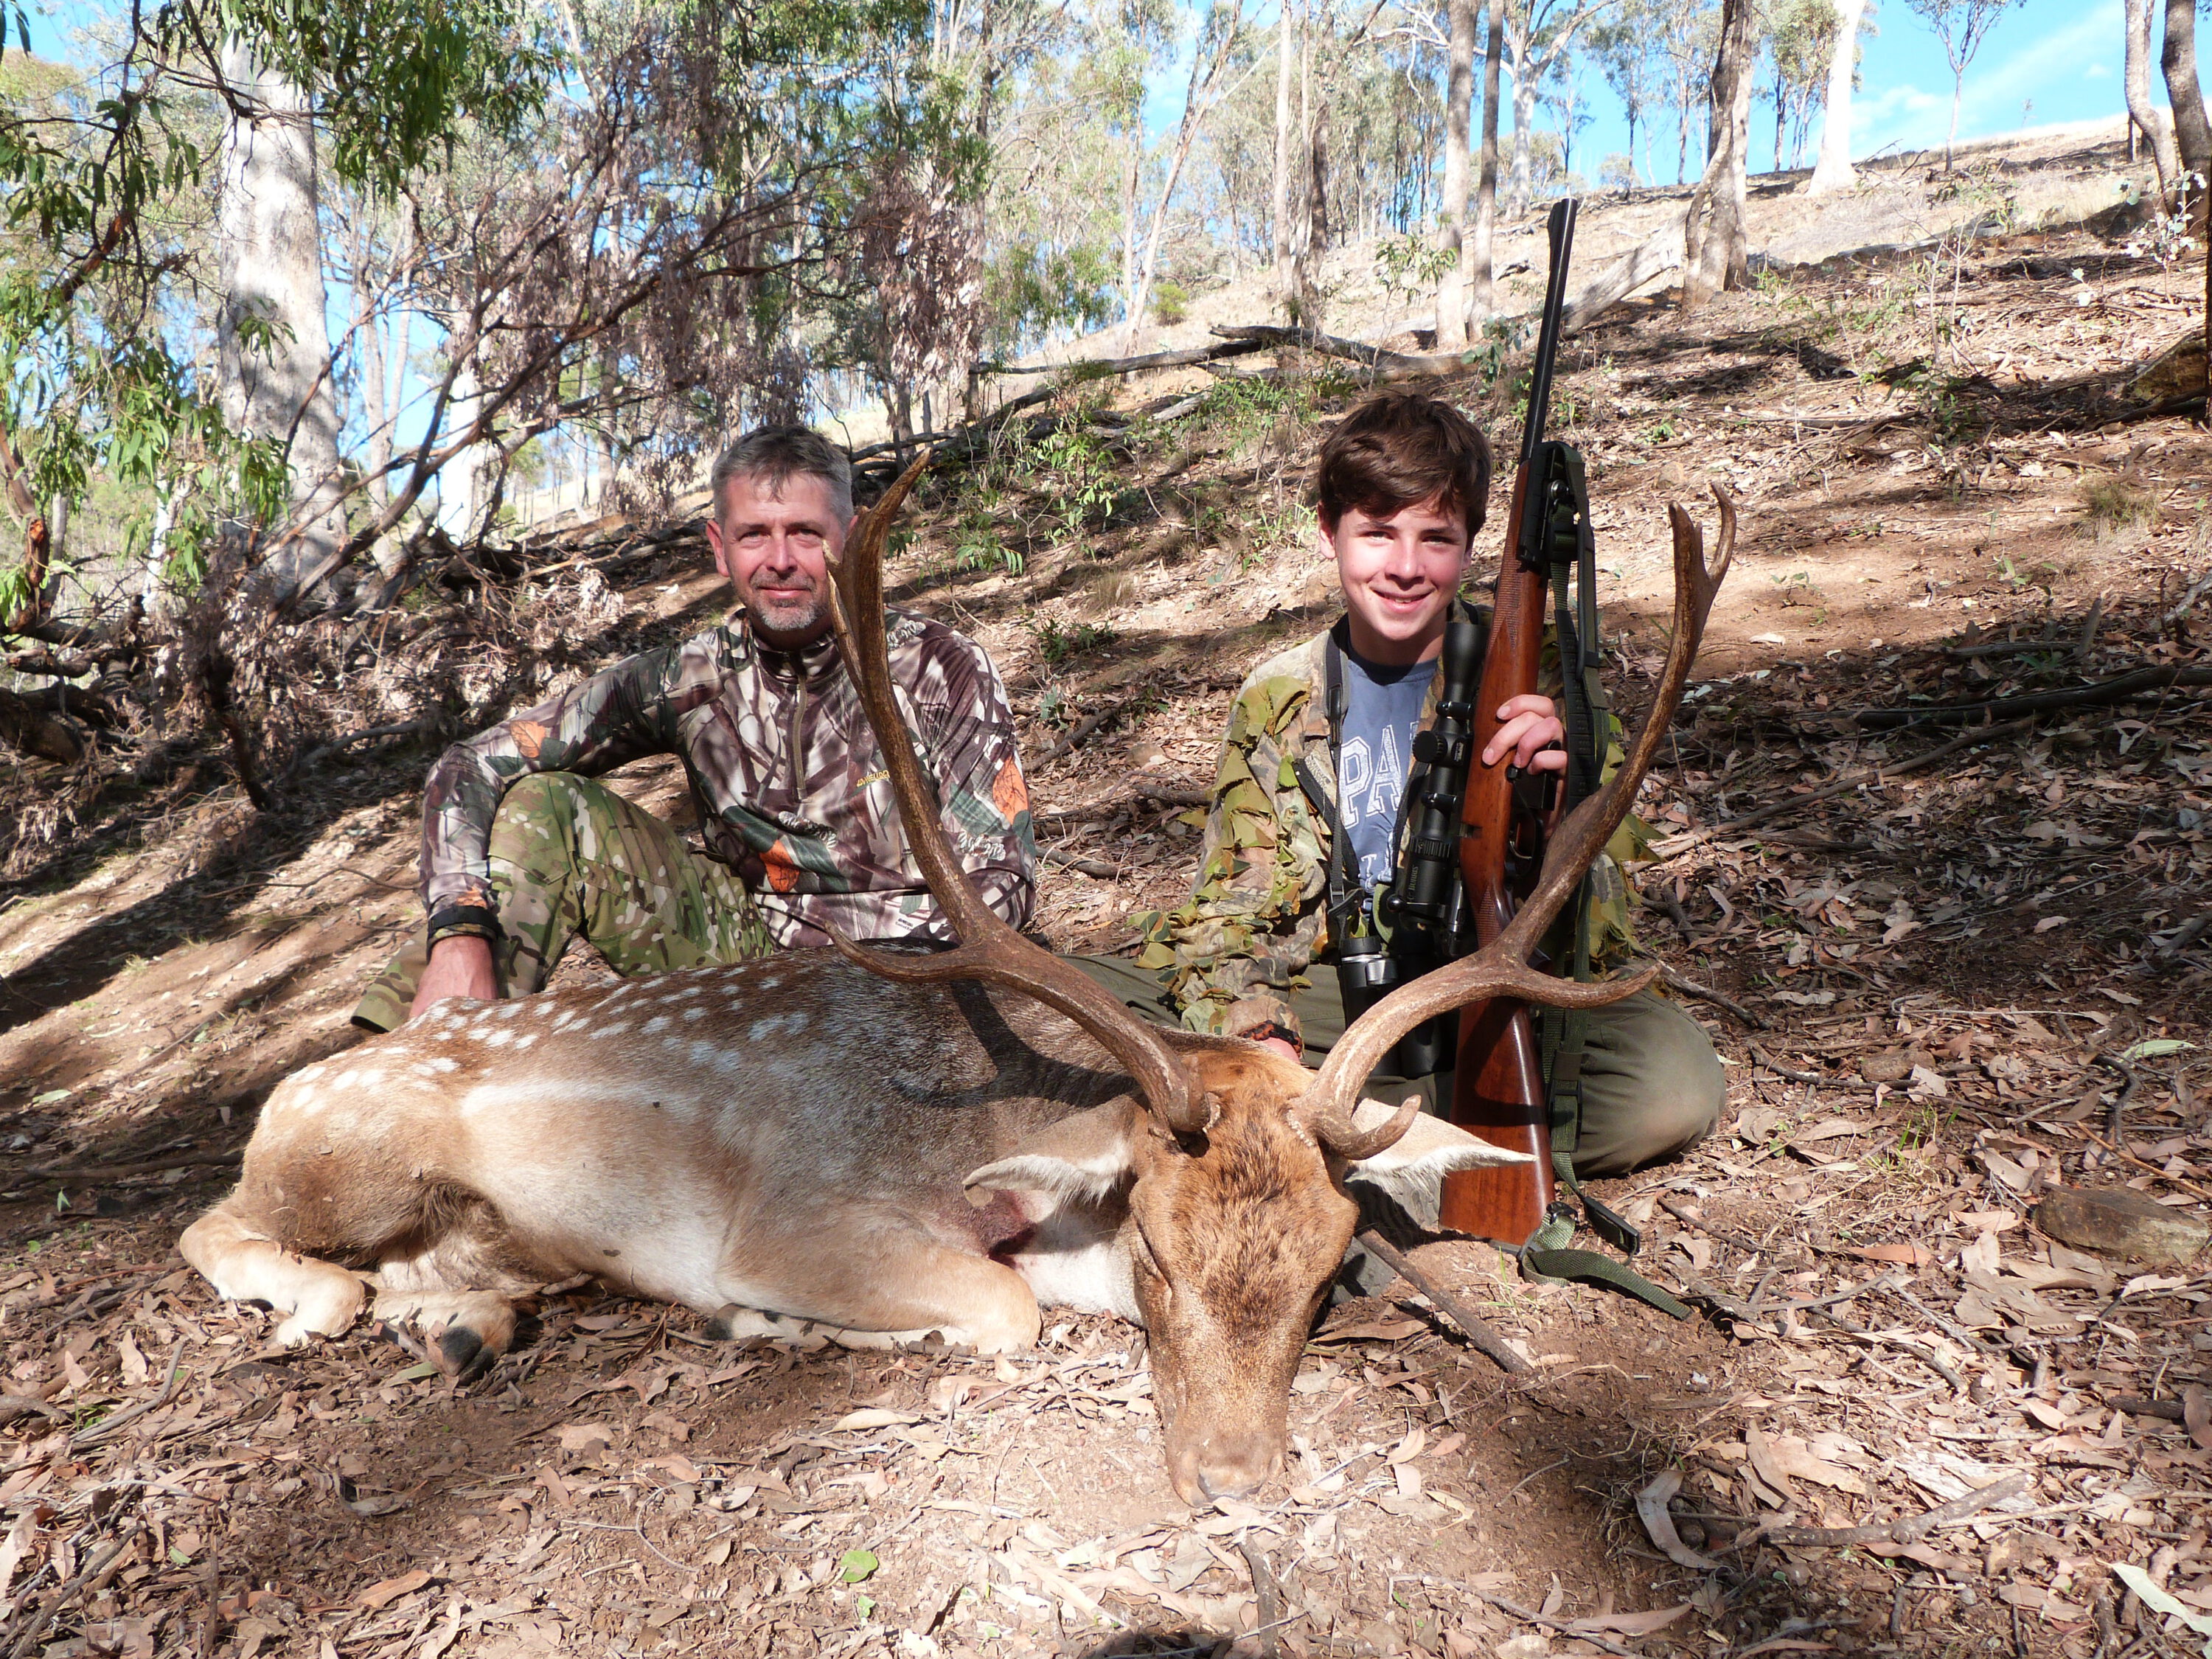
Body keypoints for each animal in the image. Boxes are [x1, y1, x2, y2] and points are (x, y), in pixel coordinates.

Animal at [177, 462, 1725, 1513]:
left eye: (1327, 1261)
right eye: (1157, 1247)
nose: (1236, 1484)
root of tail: (290, 1096)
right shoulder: (798, 1215)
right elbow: (1000, 1307)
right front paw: (773, 1324)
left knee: (424, 1277)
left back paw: (460, 1325)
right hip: (349, 1151)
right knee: (221, 1226)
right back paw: (321, 1300)